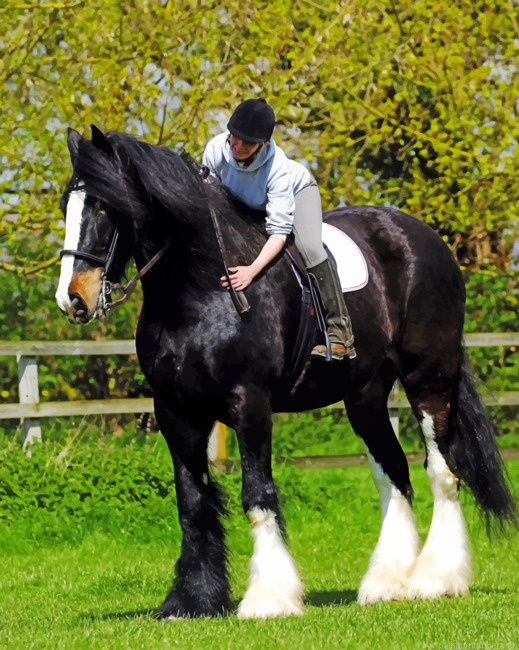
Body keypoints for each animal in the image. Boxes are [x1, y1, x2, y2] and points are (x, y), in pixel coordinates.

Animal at [55, 125, 516, 619]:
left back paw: (435, 579)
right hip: (366, 395)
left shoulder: (249, 404)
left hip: (429, 380)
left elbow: (256, 496)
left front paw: (269, 597)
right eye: (68, 204)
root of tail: (426, 237)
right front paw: (192, 599)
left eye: (106, 206)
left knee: (442, 469)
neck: (199, 287)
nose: (73, 299)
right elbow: (192, 502)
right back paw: (385, 582)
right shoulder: (176, 412)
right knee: (393, 472)